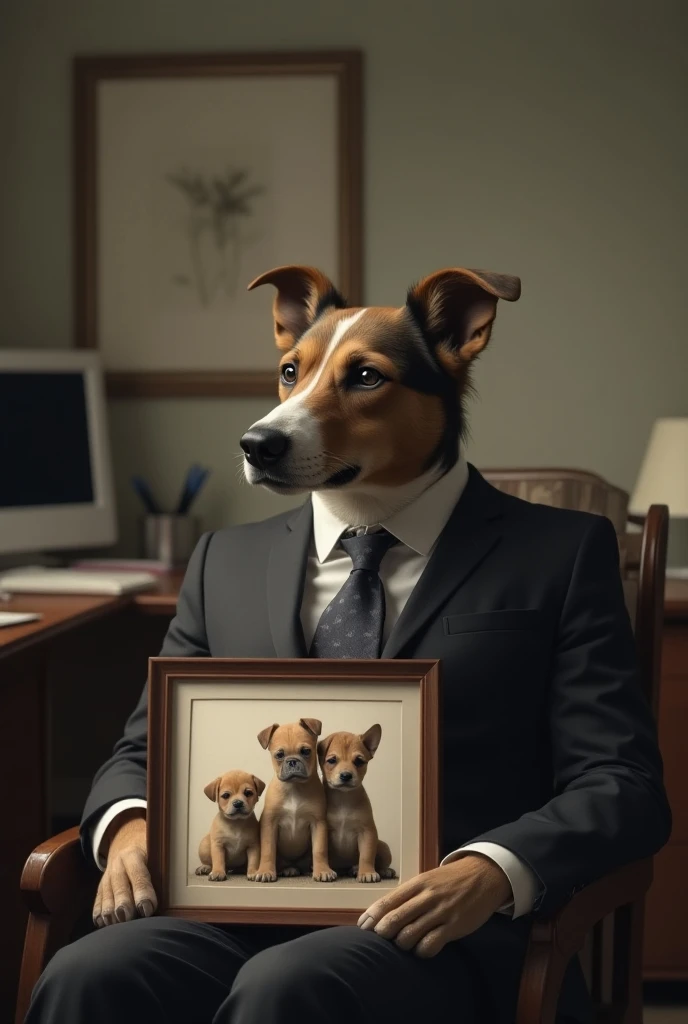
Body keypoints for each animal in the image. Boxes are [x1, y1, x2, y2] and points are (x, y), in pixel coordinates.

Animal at [253, 720, 337, 880]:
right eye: (279, 755)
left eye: (306, 751)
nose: (292, 761)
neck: (294, 786)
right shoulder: (270, 823)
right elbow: (268, 850)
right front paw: (265, 871)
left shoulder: (318, 823)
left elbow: (319, 850)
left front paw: (322, 870)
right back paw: (287, 869)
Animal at [315, 724, 393, 884]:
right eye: (332, 760)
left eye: (359, 761)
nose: (346, 775)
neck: (344, 798)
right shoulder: (324, 831)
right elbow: (321, 851)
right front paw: (324, 870)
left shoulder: (367, 831)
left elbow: (367, 855)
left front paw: (367, 872)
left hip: (383, 846)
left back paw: (378, 870)